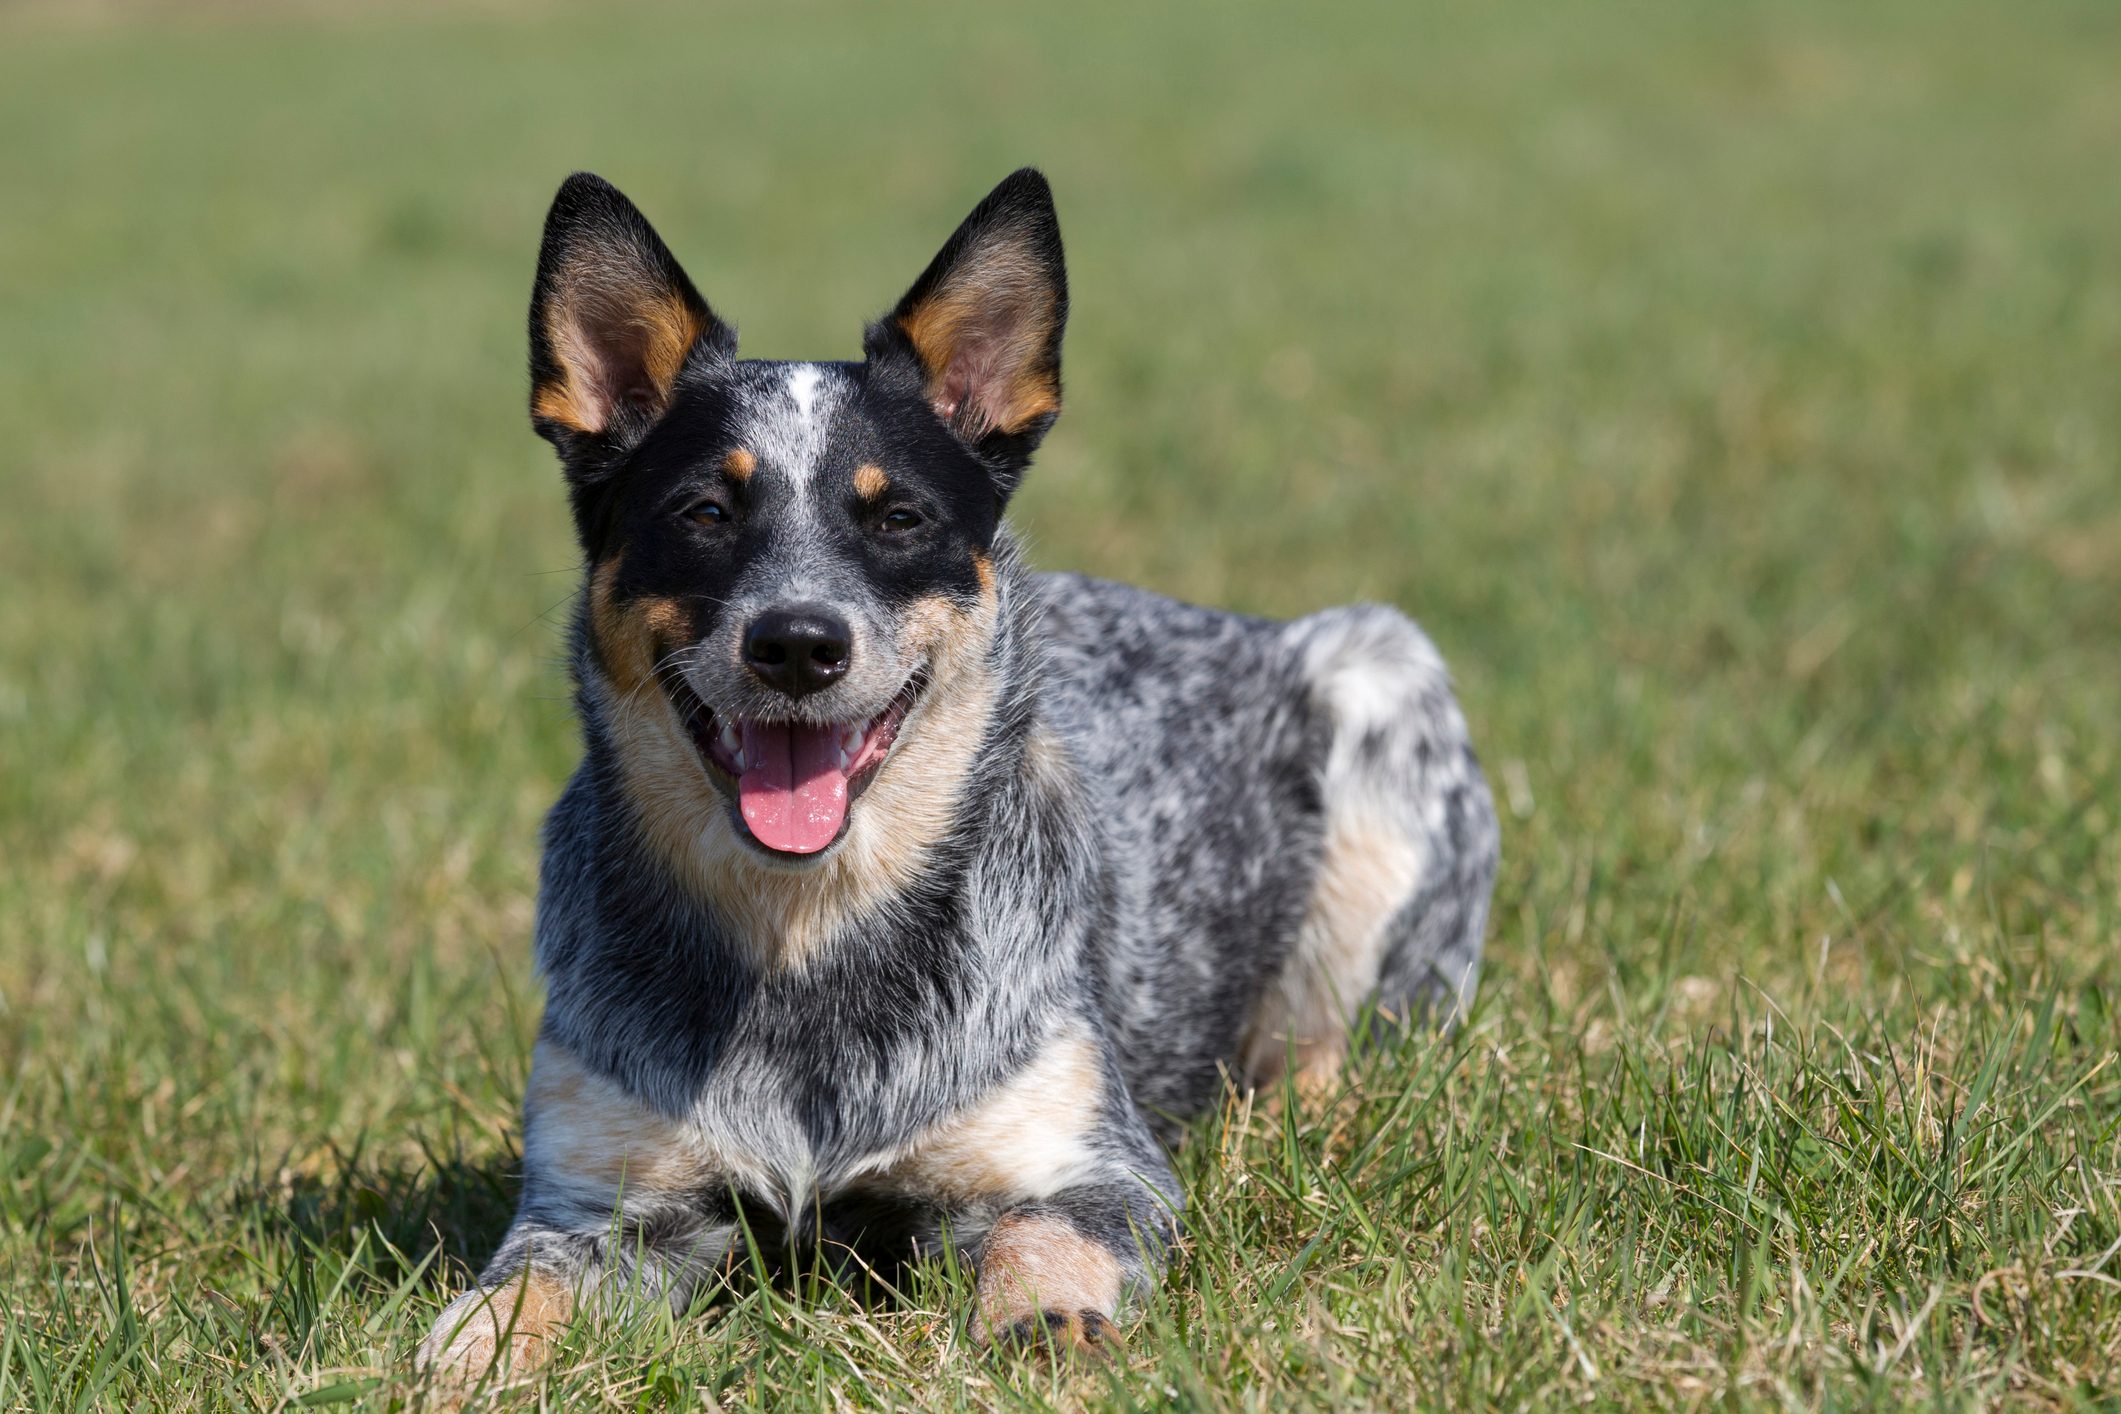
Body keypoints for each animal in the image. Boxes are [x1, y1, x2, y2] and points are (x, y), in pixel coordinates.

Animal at [413, 166, 1501, 1382]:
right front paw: (462, 1360)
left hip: (1383, 680)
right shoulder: (598, 1199)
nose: (798, 642)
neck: (803, 935)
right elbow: (514, 1296)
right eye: (703, 510)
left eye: (899, 515)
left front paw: (1044, 1319)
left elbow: (1042, 1236)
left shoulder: (1085, 1163)